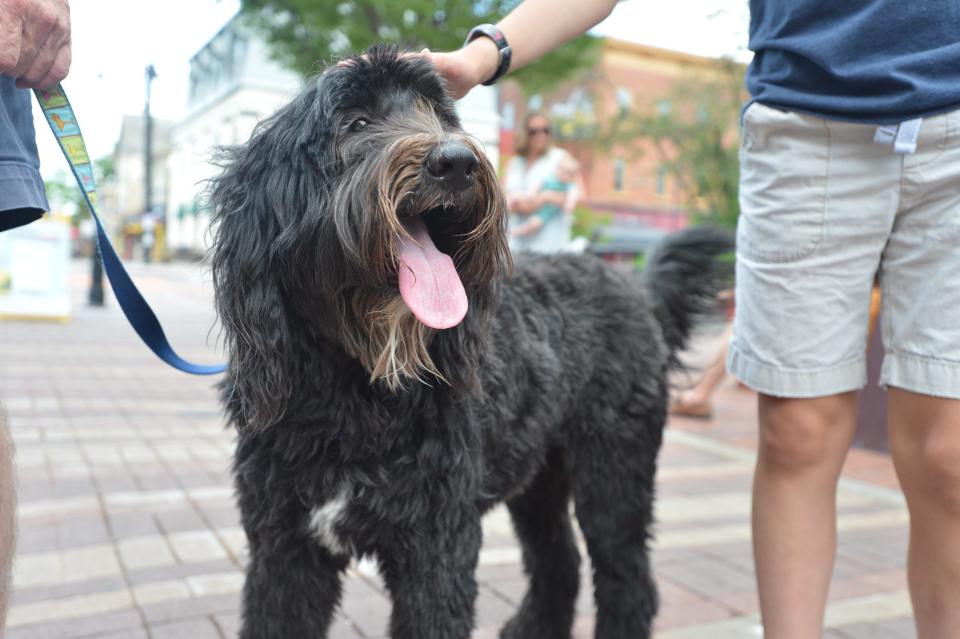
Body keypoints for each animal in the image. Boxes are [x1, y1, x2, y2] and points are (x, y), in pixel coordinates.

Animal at [212, 46, 728, 639]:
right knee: (560, 557)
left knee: (627, 575)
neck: (356, 391)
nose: (456, 161)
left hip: (615, 468)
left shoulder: (437, 548)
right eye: (356, 123)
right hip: (539, 473)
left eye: (440, 116)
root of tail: (634, 284)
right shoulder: (286, 548)